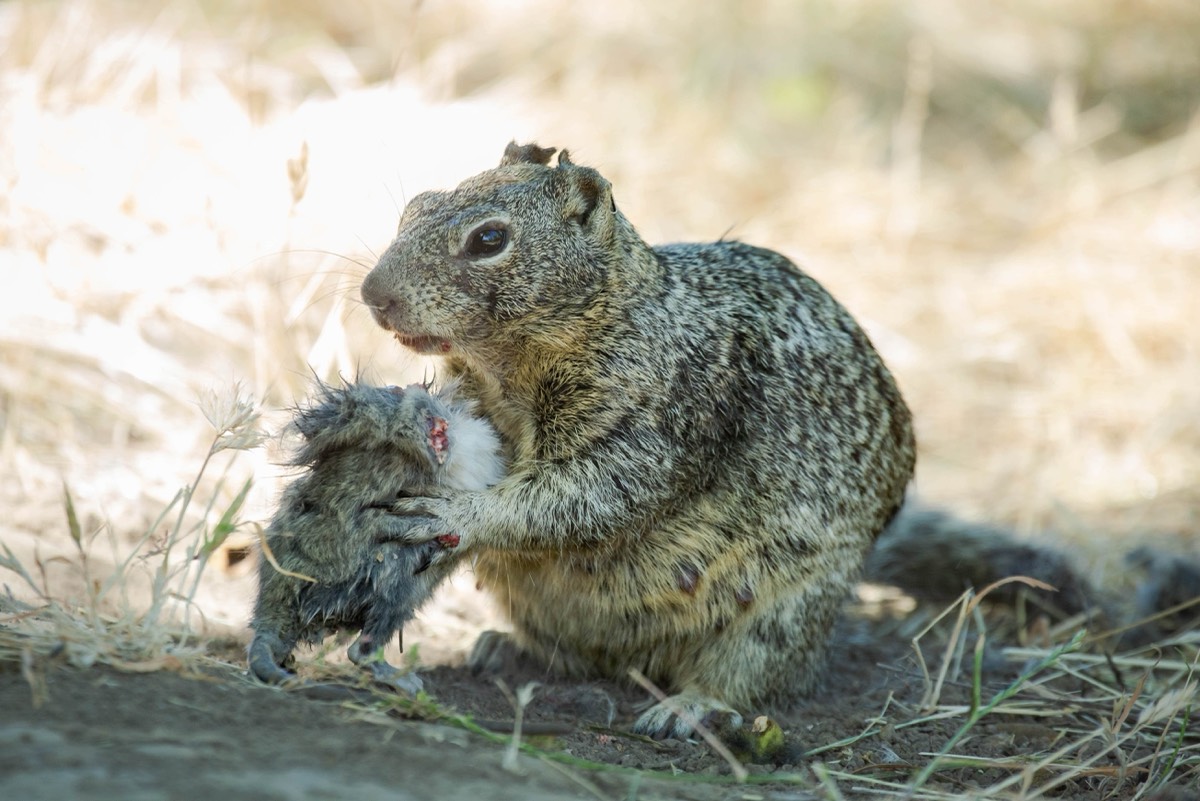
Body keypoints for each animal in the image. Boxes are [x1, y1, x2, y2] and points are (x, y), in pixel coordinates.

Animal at [360, 142, 912, 733]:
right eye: (414, 207)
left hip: (782, 614)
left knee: (749, 677)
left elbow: (582, 498)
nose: (372, 294)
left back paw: (687, 707)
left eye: (489, 239)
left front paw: (455, 513)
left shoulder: (656, 428)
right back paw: (507, 650)